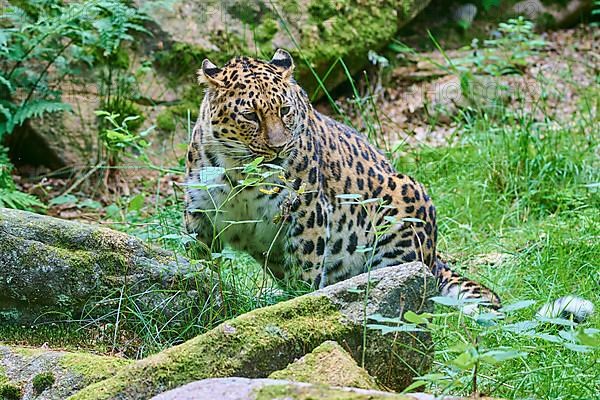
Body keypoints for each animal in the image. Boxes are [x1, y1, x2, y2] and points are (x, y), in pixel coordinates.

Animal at [183, 49, 502, 310]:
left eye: (285, 110)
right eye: (250, 115)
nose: (279, 148)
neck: (240, 173)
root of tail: (436, 256)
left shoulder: (307, 212)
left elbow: (305, 271)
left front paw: (298, 306)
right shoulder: (200, 213)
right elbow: (197, 263)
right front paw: (201, 295)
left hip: (405, 201)